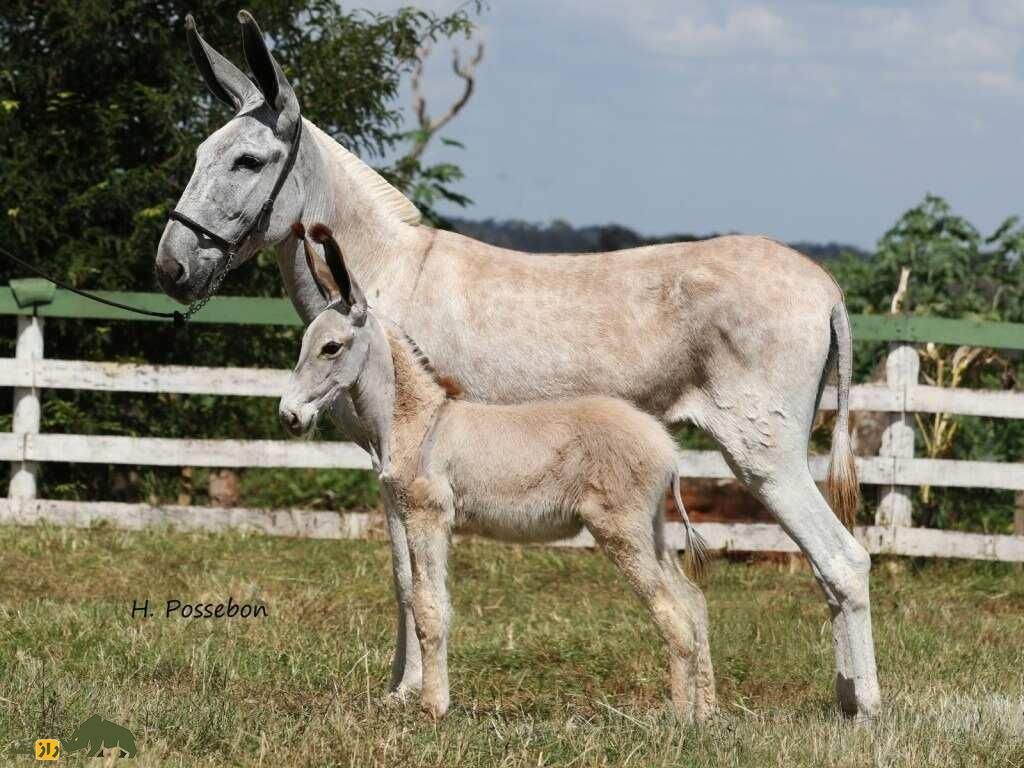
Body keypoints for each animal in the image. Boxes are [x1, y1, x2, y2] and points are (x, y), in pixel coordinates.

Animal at [276, 225, 716, 724]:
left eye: (331, 348)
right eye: (303, 345)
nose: (289, 417)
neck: (420, 422)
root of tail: (668, 449)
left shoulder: (427, 517)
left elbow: (429, 608)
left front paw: (433, 708)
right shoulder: (420, 518)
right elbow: (425, 598)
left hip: (620, 529)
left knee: (675, 618)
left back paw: (676, 722)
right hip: (651, 529)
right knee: (694, 602)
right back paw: (704, 717)